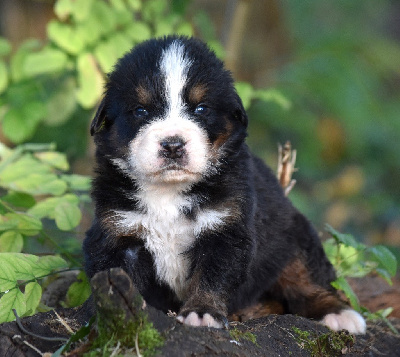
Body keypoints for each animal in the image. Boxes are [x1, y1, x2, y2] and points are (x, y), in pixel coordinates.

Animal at [84, 34, 366, 332]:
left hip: (294, 235)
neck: (168, 192)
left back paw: (339, 314)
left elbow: (211, 277)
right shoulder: (117, 231)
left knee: (306, 280)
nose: (173, 145)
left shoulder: (224, 228)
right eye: (140, 110)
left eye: (201, 109)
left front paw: (201, 312)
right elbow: (118, 275)